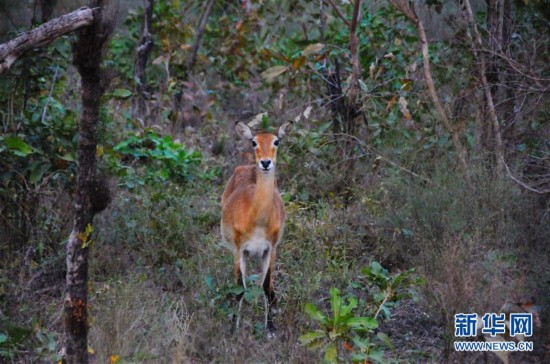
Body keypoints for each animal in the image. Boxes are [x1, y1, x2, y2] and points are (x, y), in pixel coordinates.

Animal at [220, 120, 294, 336]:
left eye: (276, 141)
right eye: (254, 142)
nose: (266, 162)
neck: (258, 221)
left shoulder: (270, 249)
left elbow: (265, 288)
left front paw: (270, 328)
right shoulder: (239, 251)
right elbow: (240, 289)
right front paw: (233, 329)